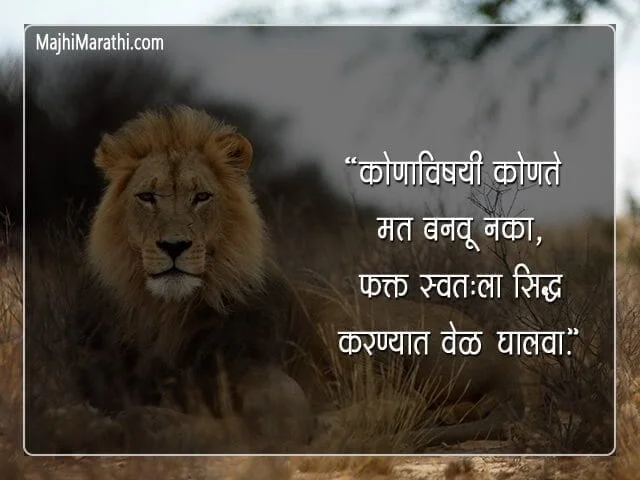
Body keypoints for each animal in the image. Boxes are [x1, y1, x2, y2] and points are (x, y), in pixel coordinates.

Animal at [63, 105, 523, 454]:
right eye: (147, 197)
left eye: (201, 197)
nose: (173, 245)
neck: (168, 314)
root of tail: (504, 356)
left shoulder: (274, 389)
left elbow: (261, 426)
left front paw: (147, 424)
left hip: (342, 320)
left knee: (406, 398)